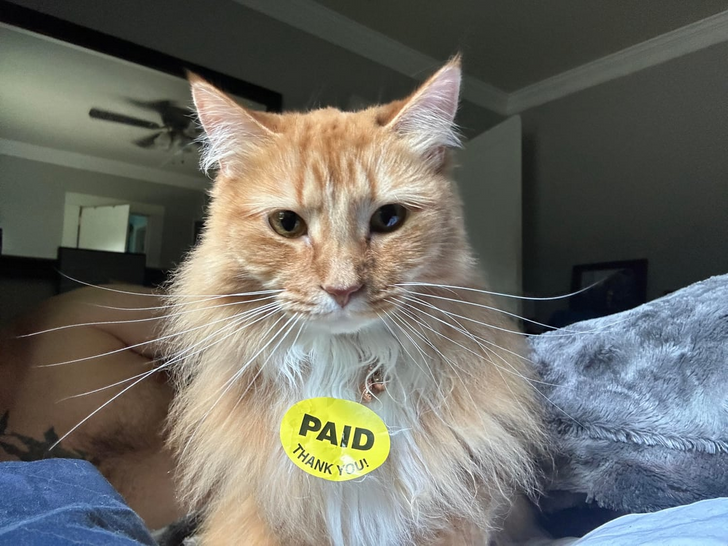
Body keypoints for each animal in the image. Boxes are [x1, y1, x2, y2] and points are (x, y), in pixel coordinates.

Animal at [164, 57, 545, 545]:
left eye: (389, 219)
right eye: (286, 224)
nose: (342, 289)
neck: (345, 367)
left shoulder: (456, 512)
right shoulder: (258, 514)